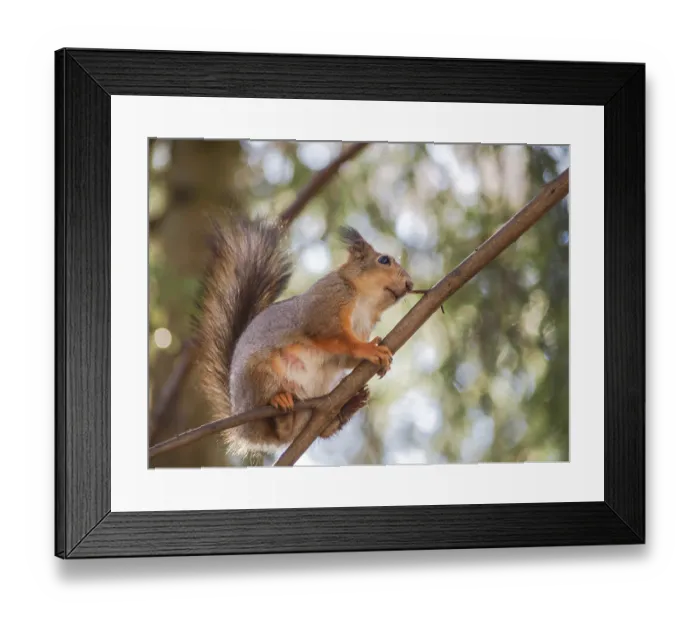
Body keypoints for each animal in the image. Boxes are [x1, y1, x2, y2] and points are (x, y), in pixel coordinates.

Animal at [192, 215, 414, 458]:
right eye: (384, 260)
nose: (410, 284)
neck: (366, 302)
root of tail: (241, 426)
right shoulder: (327, 305)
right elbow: (334, 336)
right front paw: (370, 349)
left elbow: (343, 359)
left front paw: (378, 348)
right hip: (258, 374)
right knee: (274, 425)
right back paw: (280, 402)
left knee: (310, 431)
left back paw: (346, 407)